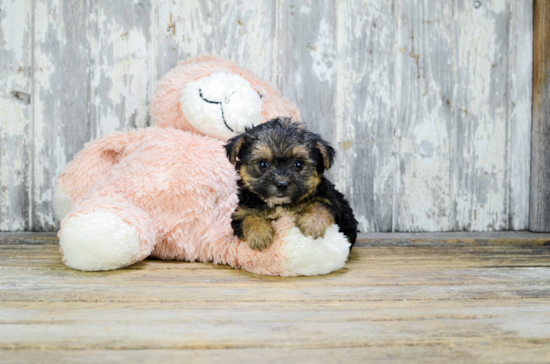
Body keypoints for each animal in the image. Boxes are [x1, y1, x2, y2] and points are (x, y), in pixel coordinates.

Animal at [226, 118, 360, 252]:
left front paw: (312, 223)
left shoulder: (330, 200)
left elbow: (319, 204)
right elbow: (248, 217)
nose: (282, 184)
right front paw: (259, 234)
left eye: (298, 164)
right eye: (263, 164)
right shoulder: (241, 211)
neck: (281, 204)